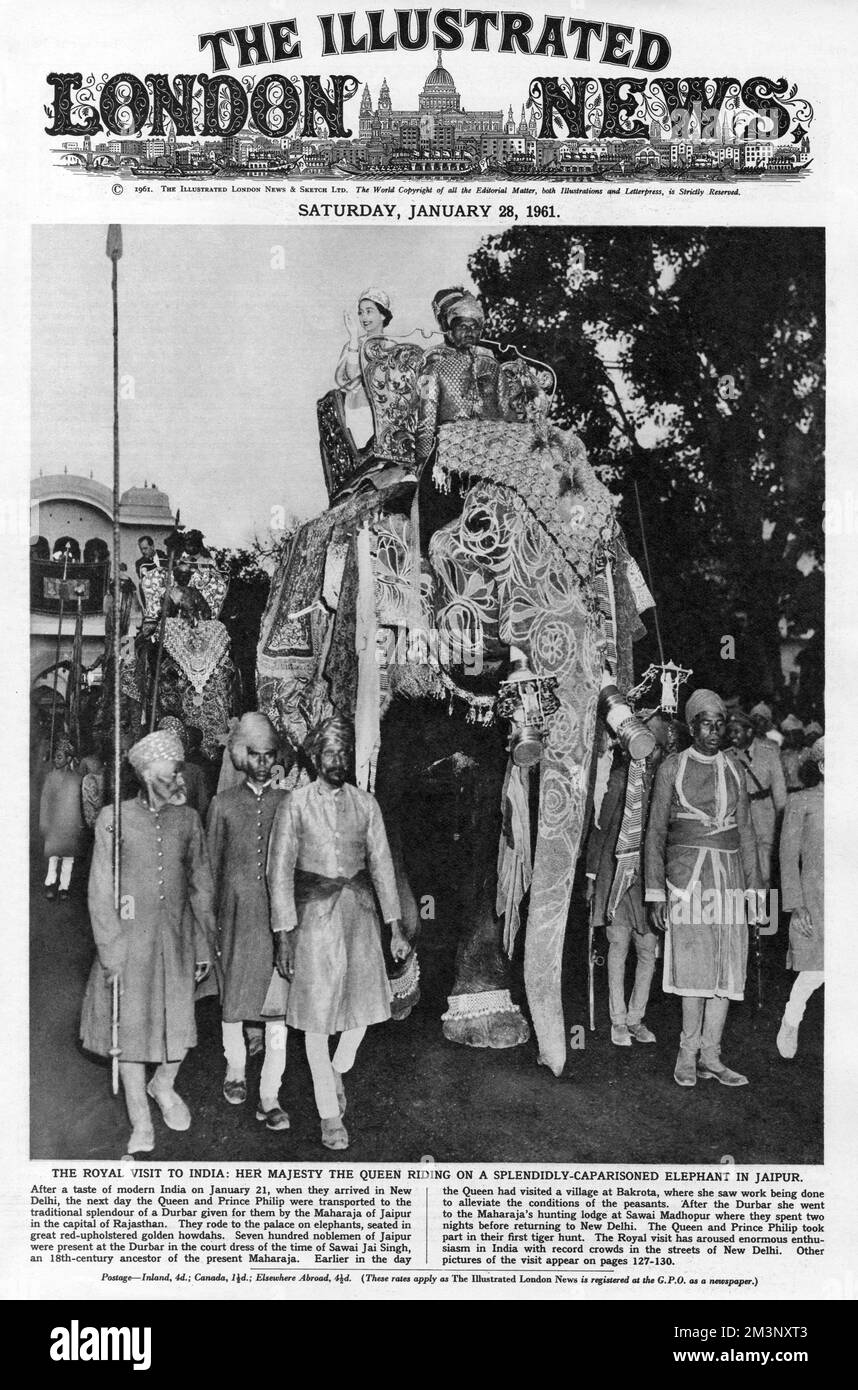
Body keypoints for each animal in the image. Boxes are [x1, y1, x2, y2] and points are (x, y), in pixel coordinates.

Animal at [257, 301, 653, 1073]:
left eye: (608, 565)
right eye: (479, 528)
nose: (558, 1062)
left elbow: (483, 813)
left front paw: (489, 1019)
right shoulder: (371, 645)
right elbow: (374, 793)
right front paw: (399, 970)